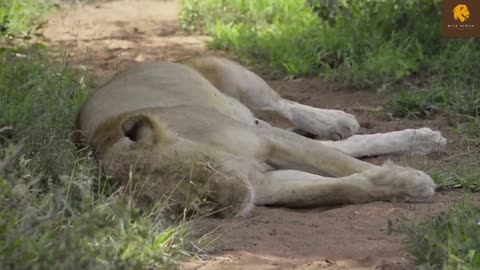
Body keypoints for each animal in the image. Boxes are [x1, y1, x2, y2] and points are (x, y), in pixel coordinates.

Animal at [73, 57, 444, 217]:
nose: (239, 201)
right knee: (340, 144)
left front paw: (413, 180)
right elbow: (340, 186)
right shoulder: (267, 182)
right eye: (189, 206)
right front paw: (404, 182)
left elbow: (344, 167)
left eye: (206, 167)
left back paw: (336, 120)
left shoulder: (269, 143)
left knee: (285, 106)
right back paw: (419, 139)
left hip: (240, 79)